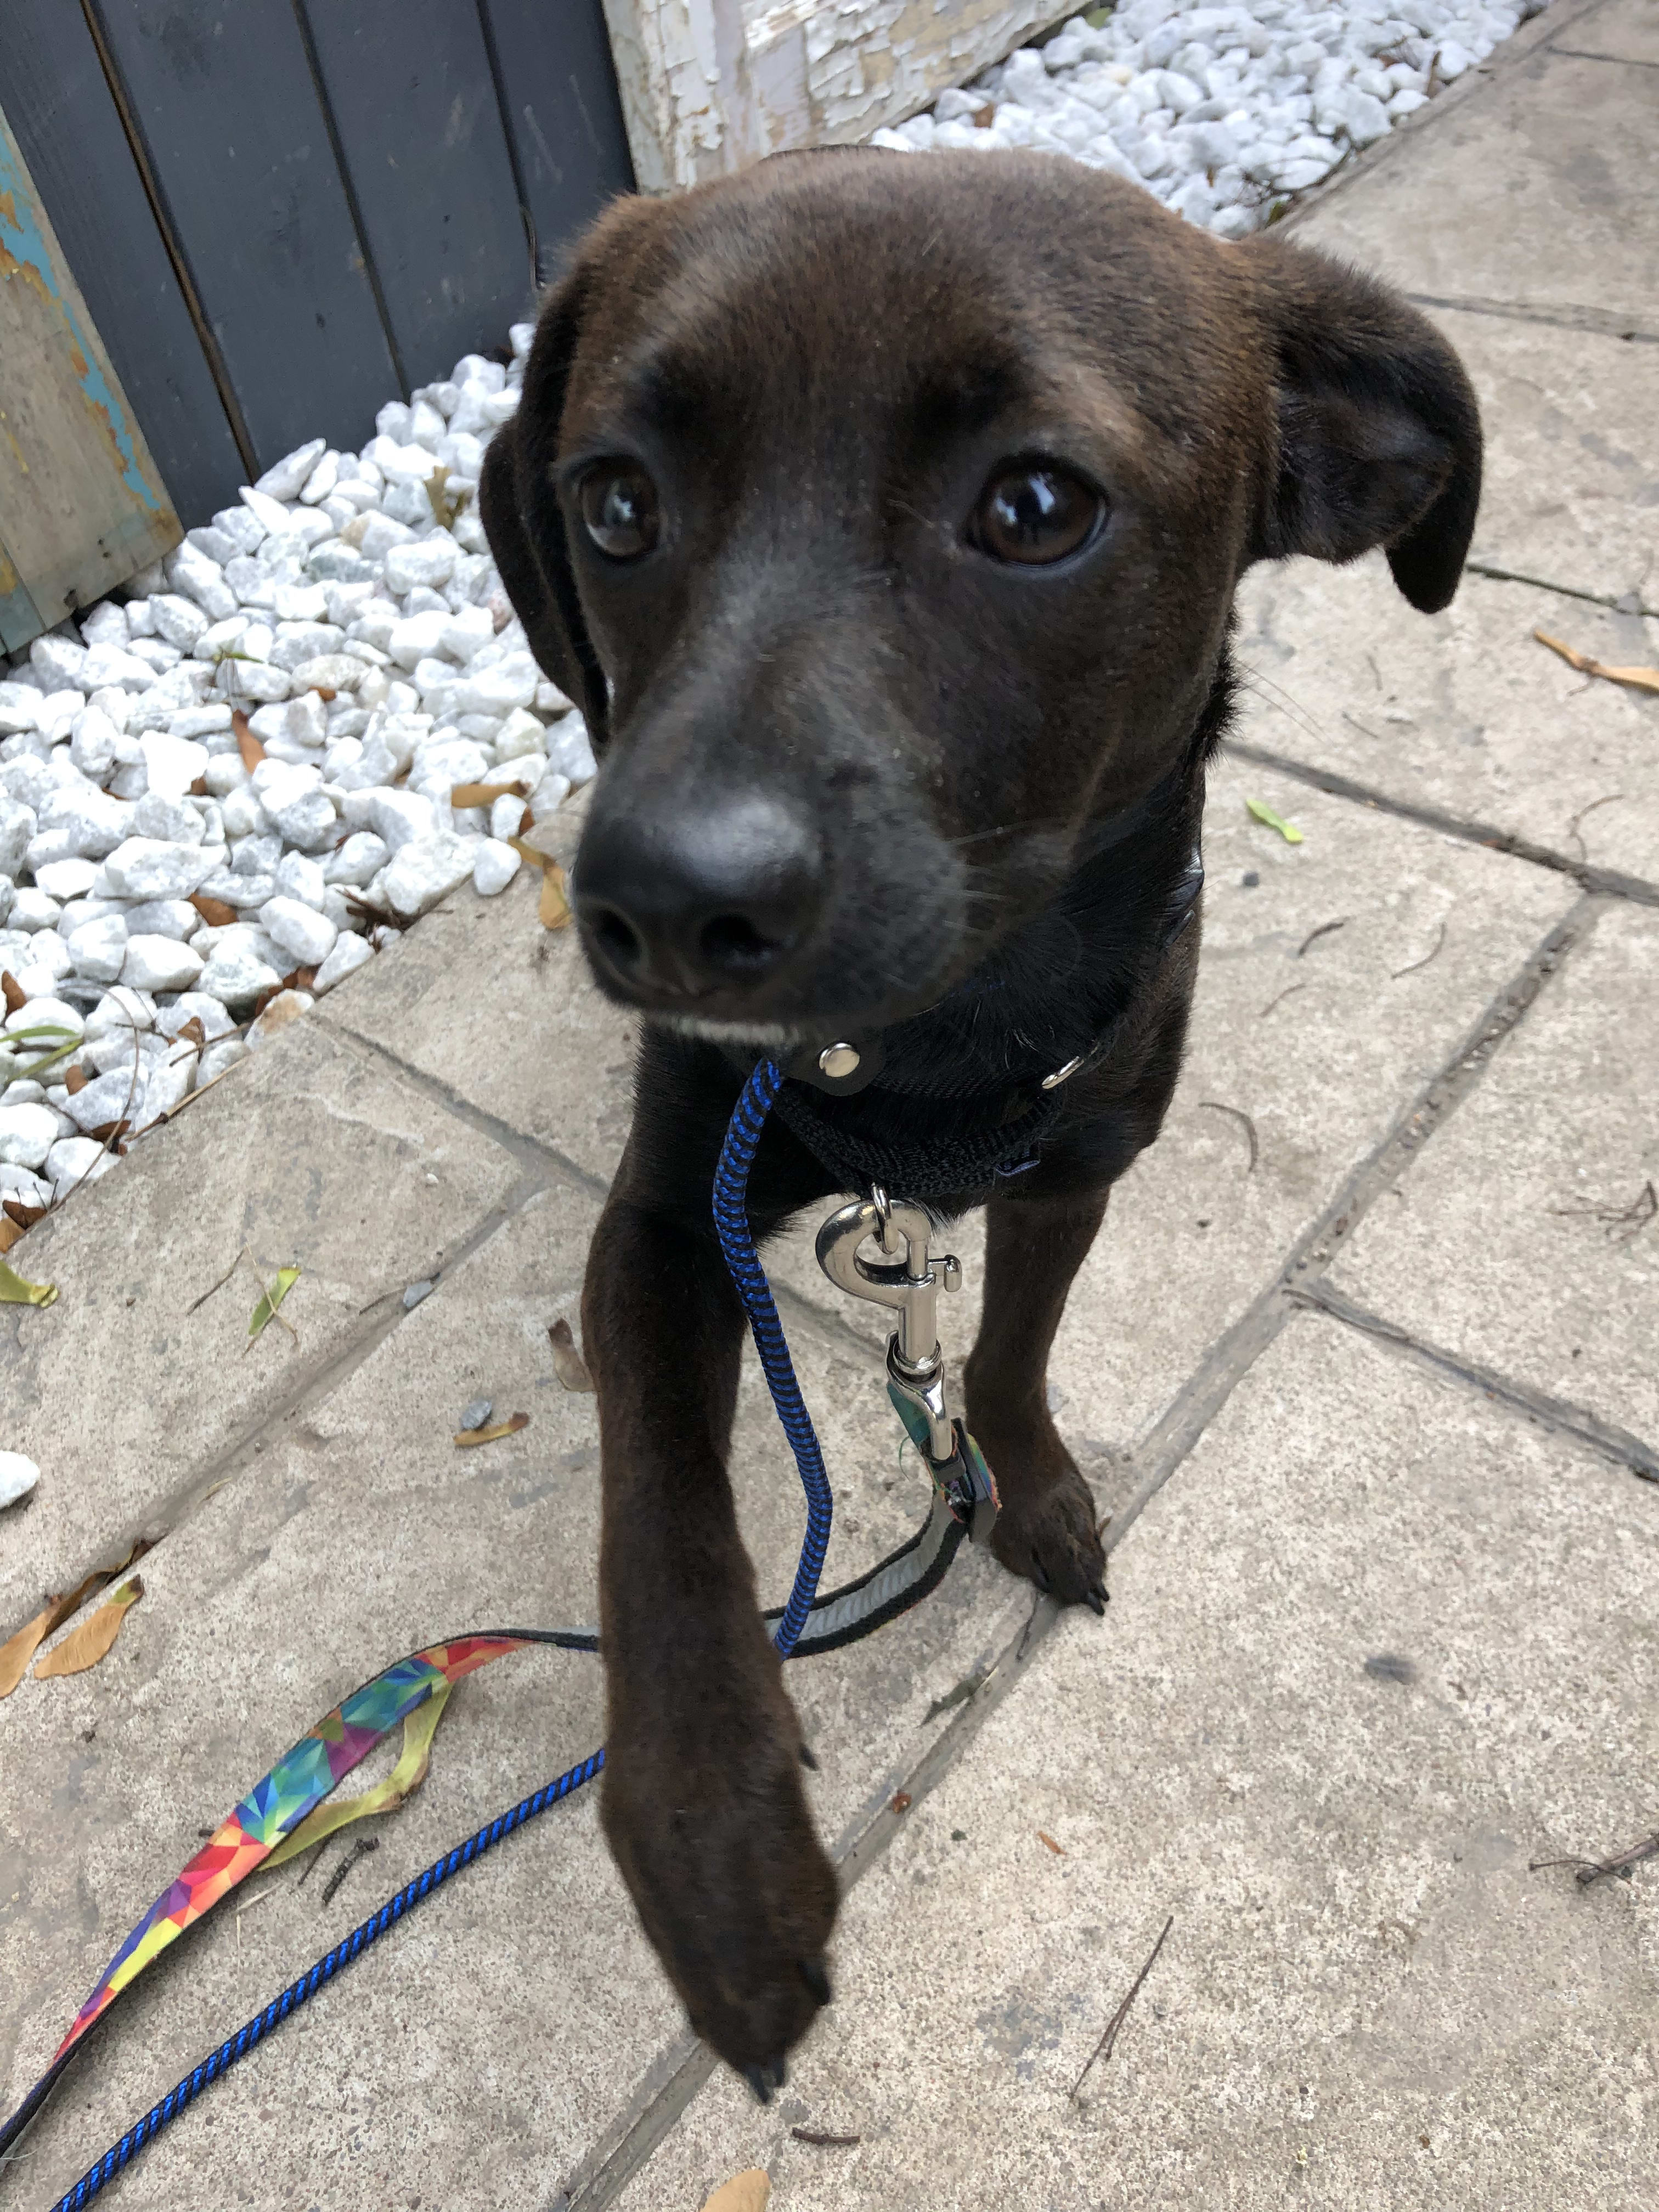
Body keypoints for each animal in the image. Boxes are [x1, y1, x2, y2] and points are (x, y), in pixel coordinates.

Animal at [479, 151, 1477, 2088]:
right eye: (617, 501)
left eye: (1033, 506)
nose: (660, 903)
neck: (922, 1058)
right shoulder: (669, 1216)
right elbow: (661, 1510)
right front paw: (714, 1843)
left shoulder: (1074, 1168)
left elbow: (1006, 1355)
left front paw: (1032, 1492)